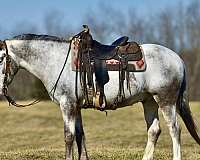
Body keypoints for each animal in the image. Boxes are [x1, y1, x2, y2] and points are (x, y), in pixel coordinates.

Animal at [0, 32, 199, 160]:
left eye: (1, 58)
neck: (55, 61)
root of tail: (177, 58)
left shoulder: (67, 104)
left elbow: (69, 136)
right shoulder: (76, 106)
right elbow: (80, 136)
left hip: (166, 100)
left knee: (175, 130)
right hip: (149, 100)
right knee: (154, 130)